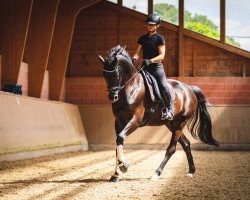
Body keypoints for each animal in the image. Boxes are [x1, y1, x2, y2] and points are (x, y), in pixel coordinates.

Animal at [97, 44, 219, 182]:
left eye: (116, 74)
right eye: (104, 75)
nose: (113, 96)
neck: (130, 88)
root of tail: (189, 89)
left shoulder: (135, 120)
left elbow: (120, 138)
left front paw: (124, 166)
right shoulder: (118, 122)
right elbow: (118, 144)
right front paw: (116, 174)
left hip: (180, 123)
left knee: (172, 148)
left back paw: (156, 173)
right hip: (171, 124)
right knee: (186, 144)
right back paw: (191, 171)